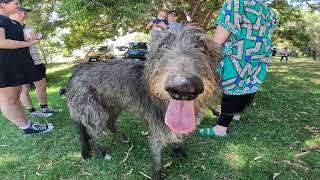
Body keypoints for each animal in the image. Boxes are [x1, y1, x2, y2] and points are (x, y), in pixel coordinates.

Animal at [66, 24, 221, 180]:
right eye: (162, 46)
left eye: (202, 47)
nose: (184, 88)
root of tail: (74, 75)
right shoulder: (157, 127)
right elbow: (156, 154)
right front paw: (157, 174)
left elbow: (174, 137)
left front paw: (179, 150)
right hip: (94, 113)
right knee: (92, 134)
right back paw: (101, 153)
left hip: (114, 106)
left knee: (109, 124)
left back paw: (123, 137)